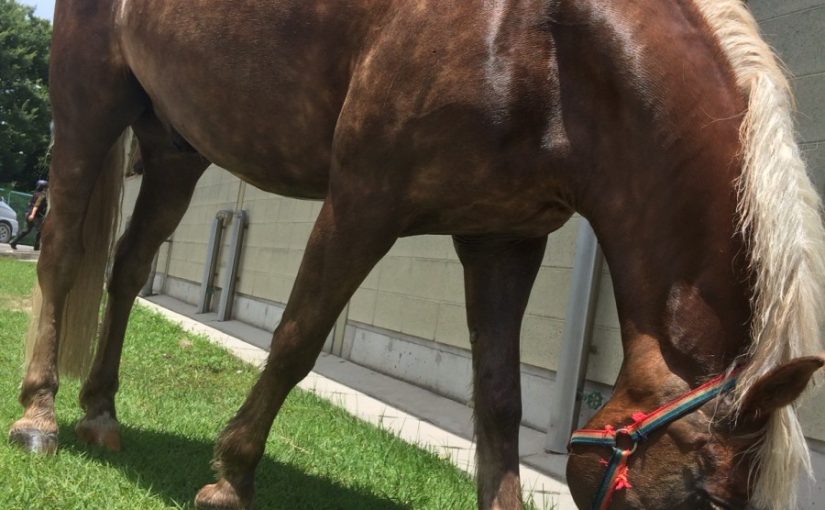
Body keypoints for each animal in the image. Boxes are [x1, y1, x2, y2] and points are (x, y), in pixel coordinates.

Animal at [8, 0, 825, 509]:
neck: (543, 41)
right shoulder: (363, 201)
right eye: (704, 498)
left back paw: (101, 415)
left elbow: (499, 400)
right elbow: (296, 338)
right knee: (59, 258)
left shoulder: (504, 240)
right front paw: (230, 478)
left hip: (176, 149)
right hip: (88, 104)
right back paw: (38, 418)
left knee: (128, 268)